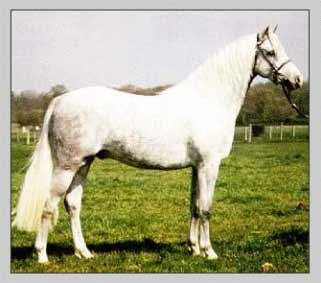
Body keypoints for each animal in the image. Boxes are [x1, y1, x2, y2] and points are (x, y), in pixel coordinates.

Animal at [12, 26, 302, 264]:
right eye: (270, 52)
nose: (297, 79)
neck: (208, 100)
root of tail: (60, 100)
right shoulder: (209, 165)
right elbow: (206, 208)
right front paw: (209, 252)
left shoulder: (197, 167)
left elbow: (194, 206)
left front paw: (194, 249)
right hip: (66, 166)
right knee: (48, 206)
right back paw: (42, 256)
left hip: (83, 164)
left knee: (72, 205)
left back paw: (84, 252)